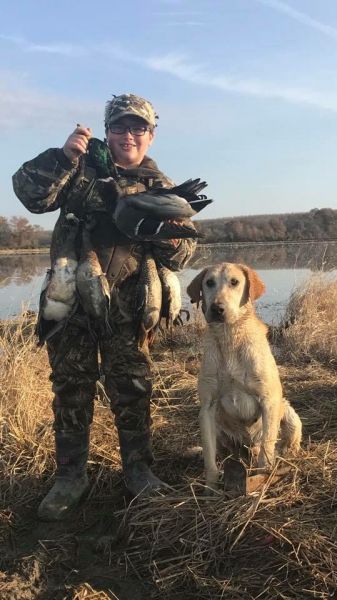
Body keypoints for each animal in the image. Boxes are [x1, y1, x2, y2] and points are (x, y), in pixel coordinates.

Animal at [186, 264, 302, 492]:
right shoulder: (207, 408)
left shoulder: (269, 401)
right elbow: (209, 456)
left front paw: (263, 476)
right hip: (219, 425)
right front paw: (210, 487)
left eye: (234, 282)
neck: (230, 337)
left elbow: (267, 445)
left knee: (279, 443)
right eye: (209, 282)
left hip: (289, 414)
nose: (217, 309)